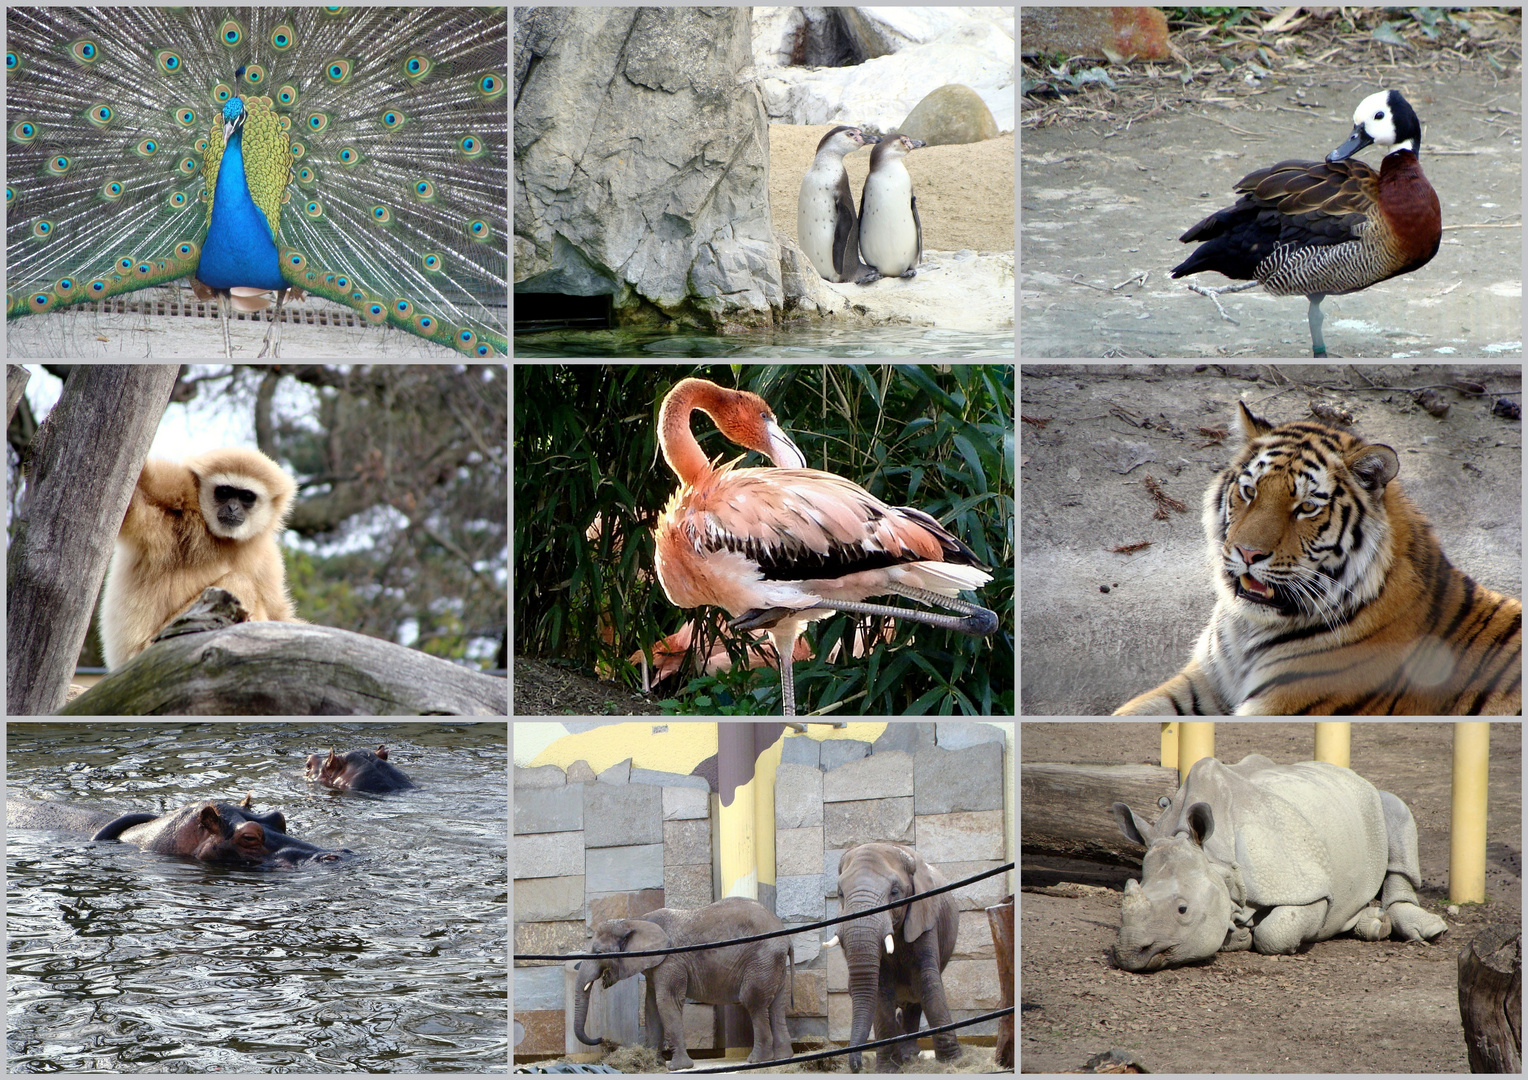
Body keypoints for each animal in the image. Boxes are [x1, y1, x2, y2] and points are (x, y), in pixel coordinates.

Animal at [568, 898, 794, 1075]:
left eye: (598, 952)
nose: (602, 1039)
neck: (635, 920)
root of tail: (786, 936)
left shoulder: (671, 960)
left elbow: (666, 1001)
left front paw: (677, 1067)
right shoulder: (656, 964)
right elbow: (651, 1006)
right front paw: (653, 1063)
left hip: (762, 958)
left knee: (753, 1002)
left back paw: (758, 1060)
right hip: (772, 964)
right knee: (776, 1005)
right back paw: (783, 1058)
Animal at [837, 843, 953, 1075]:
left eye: (895, 892)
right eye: (840, 894)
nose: (857, 1066)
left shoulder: (924, 917)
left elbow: (927, 981)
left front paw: (953, 1061)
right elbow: (880, 990)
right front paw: (888, 1068)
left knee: (915, 1000)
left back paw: (910, 1054)